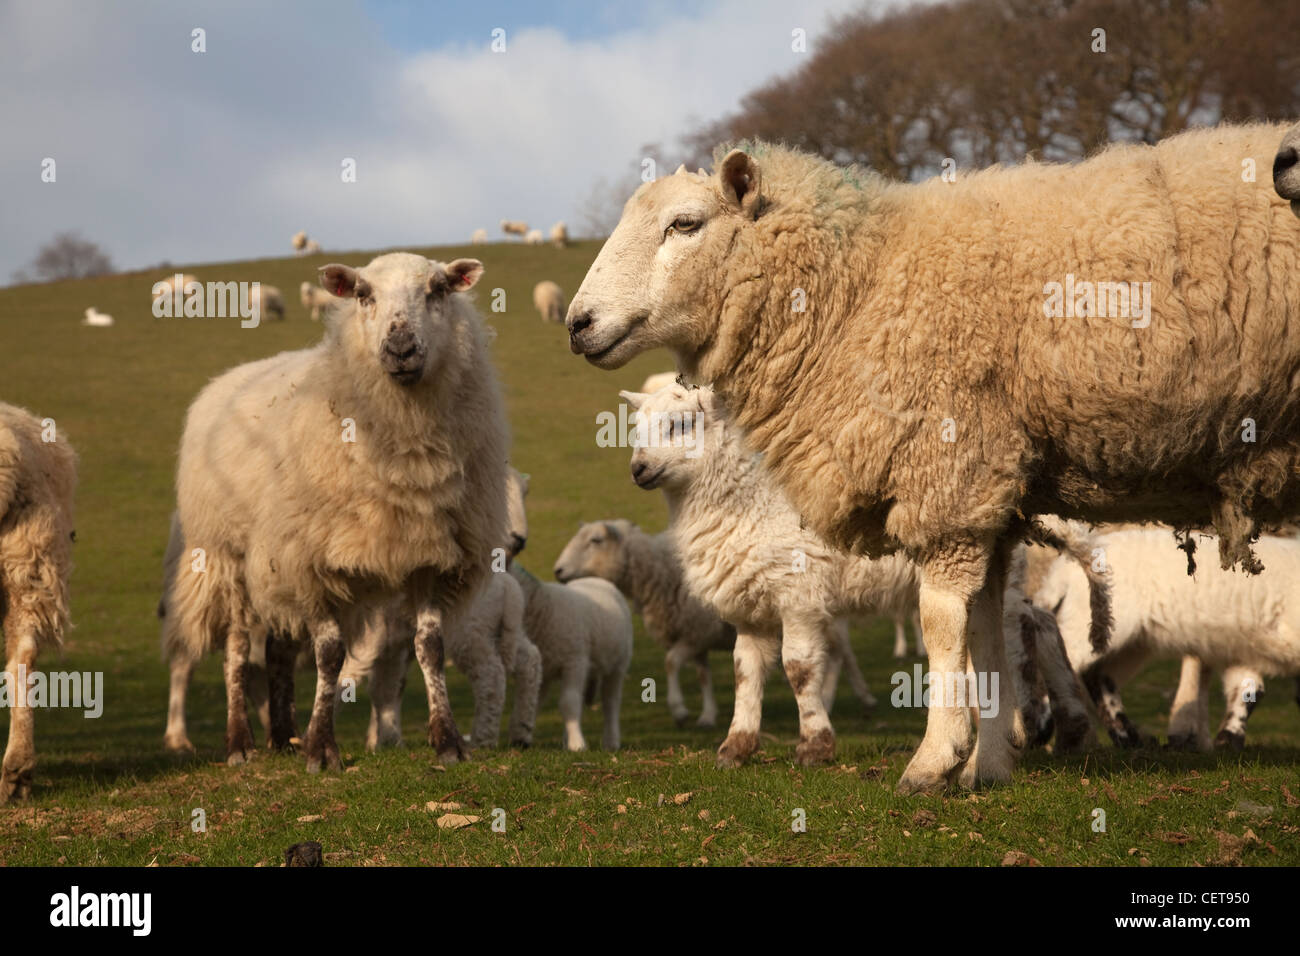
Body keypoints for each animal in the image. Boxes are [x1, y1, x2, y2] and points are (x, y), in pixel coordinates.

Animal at [167, 251, 509, 771]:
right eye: (363, 295)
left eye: (438, 290)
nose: (401, 347)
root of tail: (221, 382)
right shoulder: (310, 560)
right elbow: (329, 655)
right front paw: (322, 748)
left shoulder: (431, 553)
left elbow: (430, 648)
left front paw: (448, 740)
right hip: (227, 554)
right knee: (238, 648)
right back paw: (241, 742)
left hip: (272, 563)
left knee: (279, 649)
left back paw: (283, 735)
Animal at [507, 560, 633, 751]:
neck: (545, 607)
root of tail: (595, 579)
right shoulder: (545, 669)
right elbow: (536, 701)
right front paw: (522, 733)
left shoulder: (575, 661)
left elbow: (568, 701)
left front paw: (577, 744)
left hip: (618, 663)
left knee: (610, 702)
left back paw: (610, 741)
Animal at [554, 520, 735, 727]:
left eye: (596, 540)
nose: (558, 570)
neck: (660, 571)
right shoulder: (696, 634)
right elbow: (703, 676)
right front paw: (708, 716)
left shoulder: (699, 632)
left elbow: (670, 662)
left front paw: (679, 710)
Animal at [1034, 526, 1300, 751]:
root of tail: (1062, 571)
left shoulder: (1240, 644)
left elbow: (1248, 688)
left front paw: (1228, 740)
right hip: (1092, 620)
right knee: (1052, 656)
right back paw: (1041, 732)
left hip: (1128, 640)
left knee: (1098, 675)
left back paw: (1129, 738)